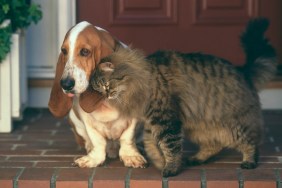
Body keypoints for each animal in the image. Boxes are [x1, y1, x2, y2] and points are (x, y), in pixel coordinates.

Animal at [90, 18, 276, 177]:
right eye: (99, 91)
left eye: (106, 86)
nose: (106, 96)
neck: (139, 80)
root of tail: (242, 70)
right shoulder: (153, 122)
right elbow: (151, 145)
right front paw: (159, 161)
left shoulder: (165, 119)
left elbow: (170, 147)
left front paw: (170, 168)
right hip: (199, 127)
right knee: (215, 145)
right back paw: (196, 159)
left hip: (234, 125)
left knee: (251, 142)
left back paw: (249, 162)